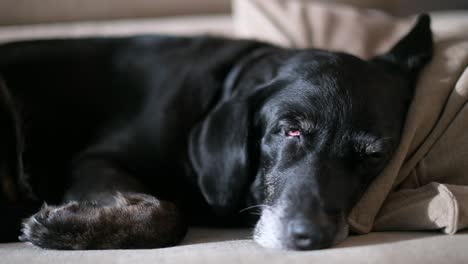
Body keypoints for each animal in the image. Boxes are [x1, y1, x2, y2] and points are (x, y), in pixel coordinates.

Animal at [0, 15, 434, 251]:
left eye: (373, 156)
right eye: (290, 130)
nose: (309, 237)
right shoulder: (94, 159)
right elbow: (167, 213)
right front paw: (59, 228)